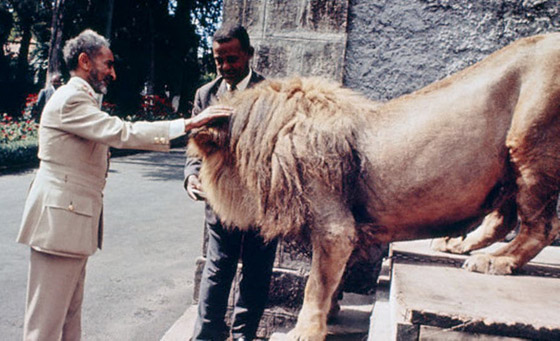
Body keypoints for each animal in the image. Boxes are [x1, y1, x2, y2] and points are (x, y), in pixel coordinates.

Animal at [188, 32, 560, 340]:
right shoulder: (345, 230)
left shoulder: (334, 227)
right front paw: (332, 313)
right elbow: (333, 279)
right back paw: (457, 246)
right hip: (508, 166)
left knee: (541, 226)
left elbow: (315, 284)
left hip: (530, 144)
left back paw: (495, 262)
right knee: (503, 220)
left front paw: (304, 331)